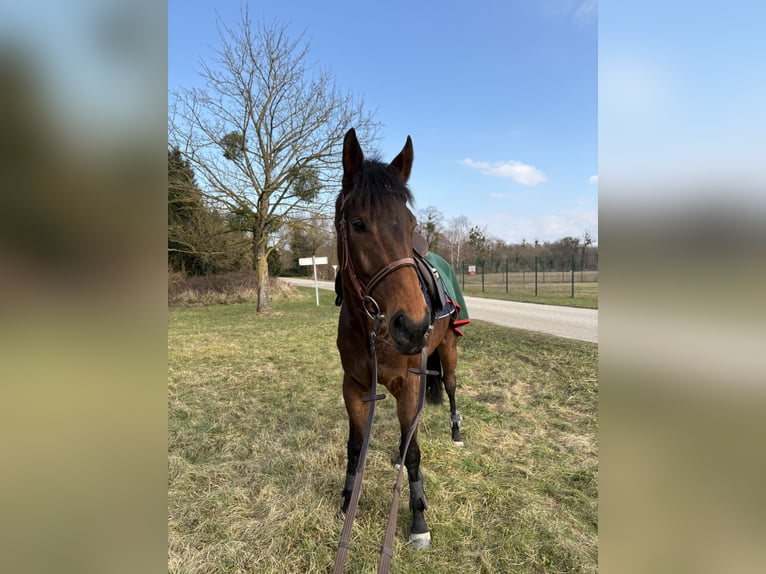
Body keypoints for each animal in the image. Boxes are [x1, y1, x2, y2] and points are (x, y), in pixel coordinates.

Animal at [334, 128, 462, 552]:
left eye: (409, 224)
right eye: (358, 224)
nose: (415, 326)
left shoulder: (411, 383)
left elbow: (416, 452)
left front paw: (418, 520)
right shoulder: (355, 387)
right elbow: (356, 448)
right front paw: (347, 502)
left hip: (448, 349)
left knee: (451, 387)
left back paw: (457, 432)